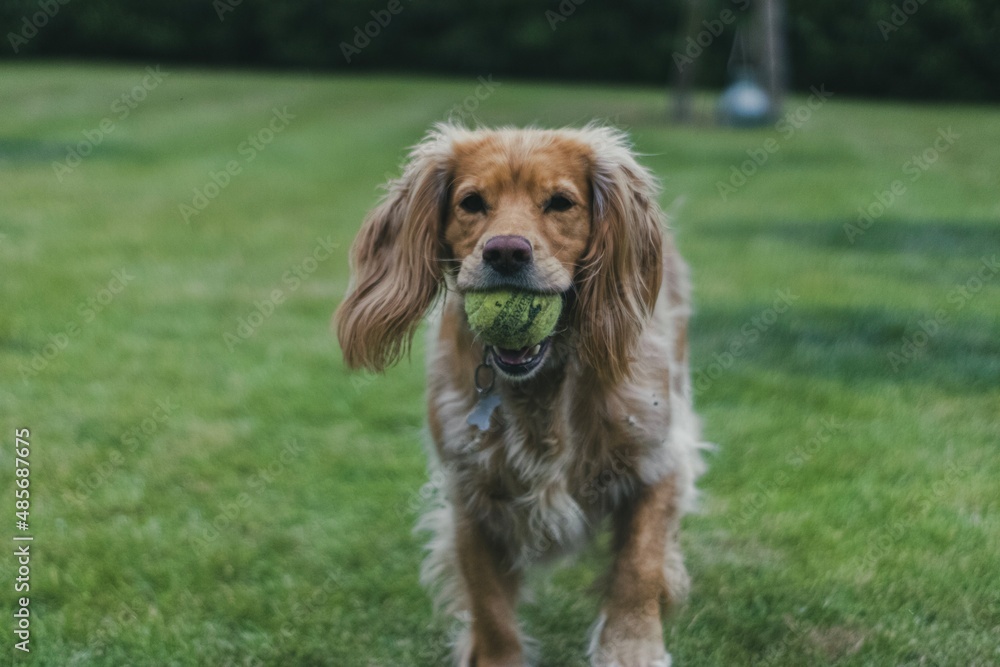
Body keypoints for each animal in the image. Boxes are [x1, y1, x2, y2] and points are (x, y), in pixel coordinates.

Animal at [336, 122, 704, 664]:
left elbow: (639, 564)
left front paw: (631, 645)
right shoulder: (471, 489)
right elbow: (488, 603)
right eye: (471, 202)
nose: (506, 251)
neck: (543, 384)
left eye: (560, 202)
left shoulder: (656, 459)